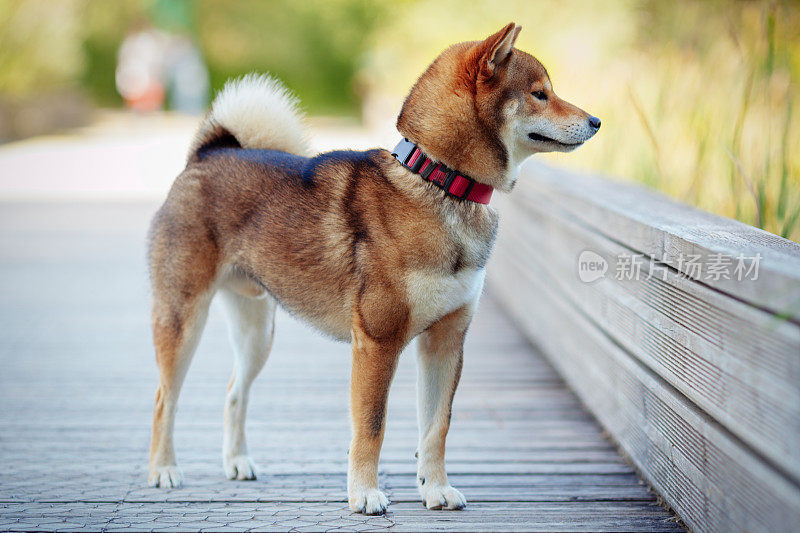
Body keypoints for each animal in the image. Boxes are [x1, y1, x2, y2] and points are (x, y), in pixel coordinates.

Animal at [148, 22, 600, 512]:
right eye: (540, 93)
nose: (597, 121)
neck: (440, 181)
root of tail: (206, 156)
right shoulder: (377, 343)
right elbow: (371, 427)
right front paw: (364, 494)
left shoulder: (445, 341)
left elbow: (436, 427)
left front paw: (435, 488)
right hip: (184, 320)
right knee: (164, 398)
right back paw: (164, 470)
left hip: (256, 333)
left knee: (234, 393)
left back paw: (236, 462)